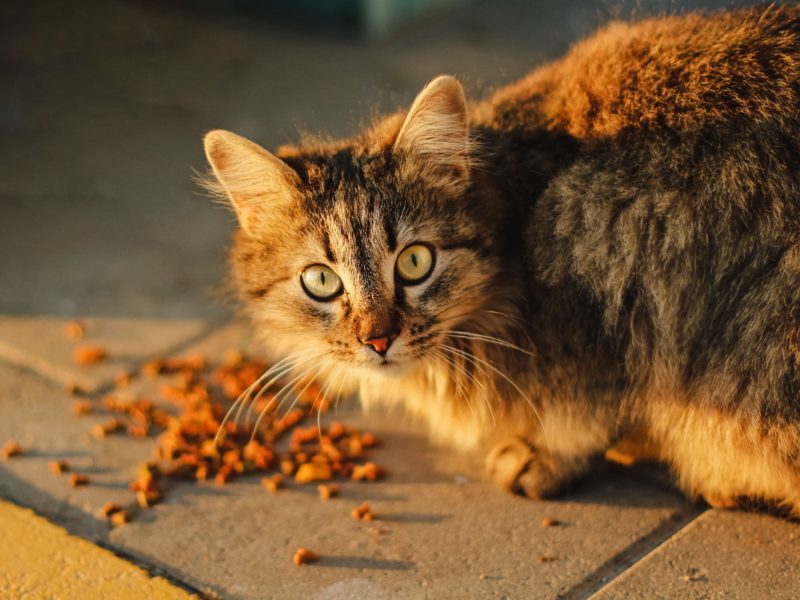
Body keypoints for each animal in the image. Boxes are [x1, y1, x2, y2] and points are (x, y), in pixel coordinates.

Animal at [203, 4, 800, 516]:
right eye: (321, 281)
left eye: (414, 262)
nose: (378, 340)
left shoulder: (599, 284)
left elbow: (580, 411)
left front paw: (544, 454)